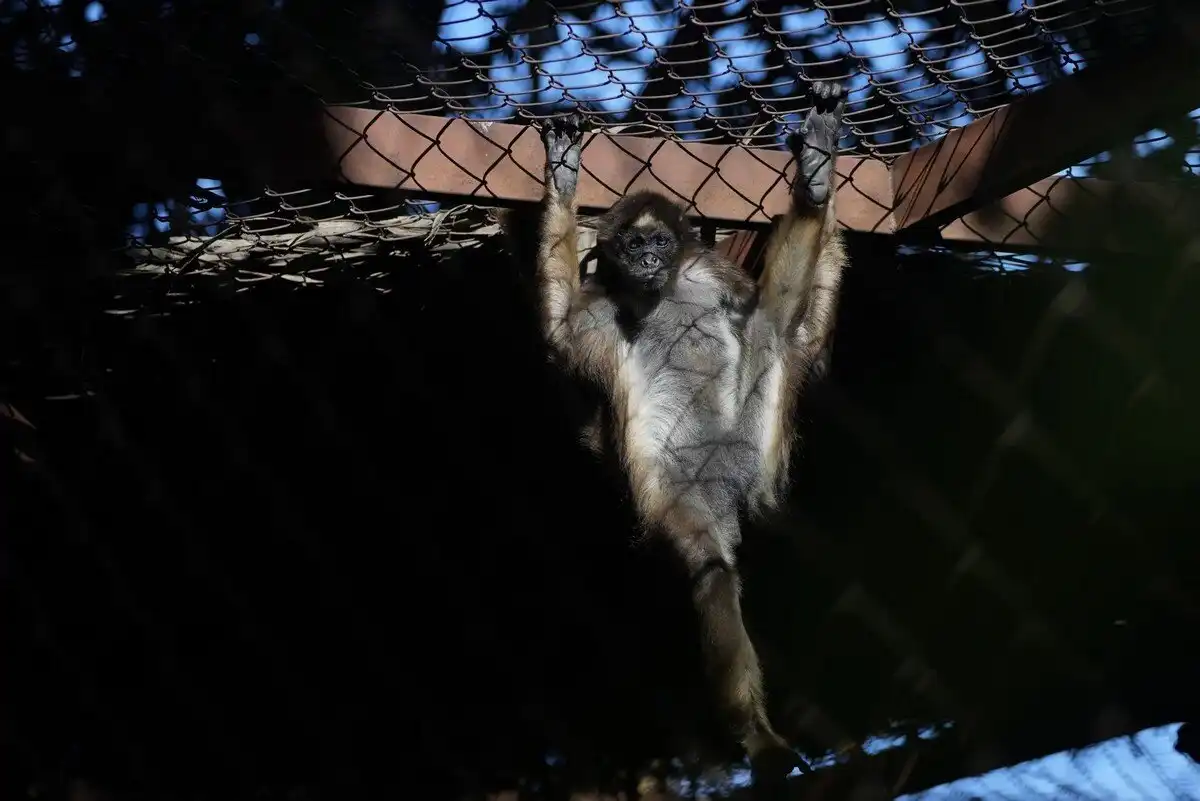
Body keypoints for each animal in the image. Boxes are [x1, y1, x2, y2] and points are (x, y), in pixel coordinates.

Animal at [531, 82, 847, 782]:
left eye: (658, 246)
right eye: (632, 247)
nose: (650, 259)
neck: (658, 294)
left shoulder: (707, 274)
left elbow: (766, 318)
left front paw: (814, 173)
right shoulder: (598, 315)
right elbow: (560, 341)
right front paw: (561, 185)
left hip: (757, 425)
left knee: (773, 327)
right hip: (681, 486)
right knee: (710, 568)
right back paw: (754, 735)